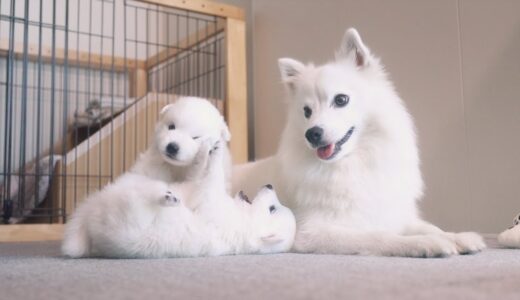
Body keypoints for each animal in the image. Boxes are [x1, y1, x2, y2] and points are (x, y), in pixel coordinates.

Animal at [234, 27, 486, 258]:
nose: (312, 133)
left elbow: (429, 226)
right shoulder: (313, 231)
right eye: (307, 111)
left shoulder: (392, 213)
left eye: (341, 100)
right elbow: (381, 236)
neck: (354, 163)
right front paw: (426, 243)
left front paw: (458, 237)